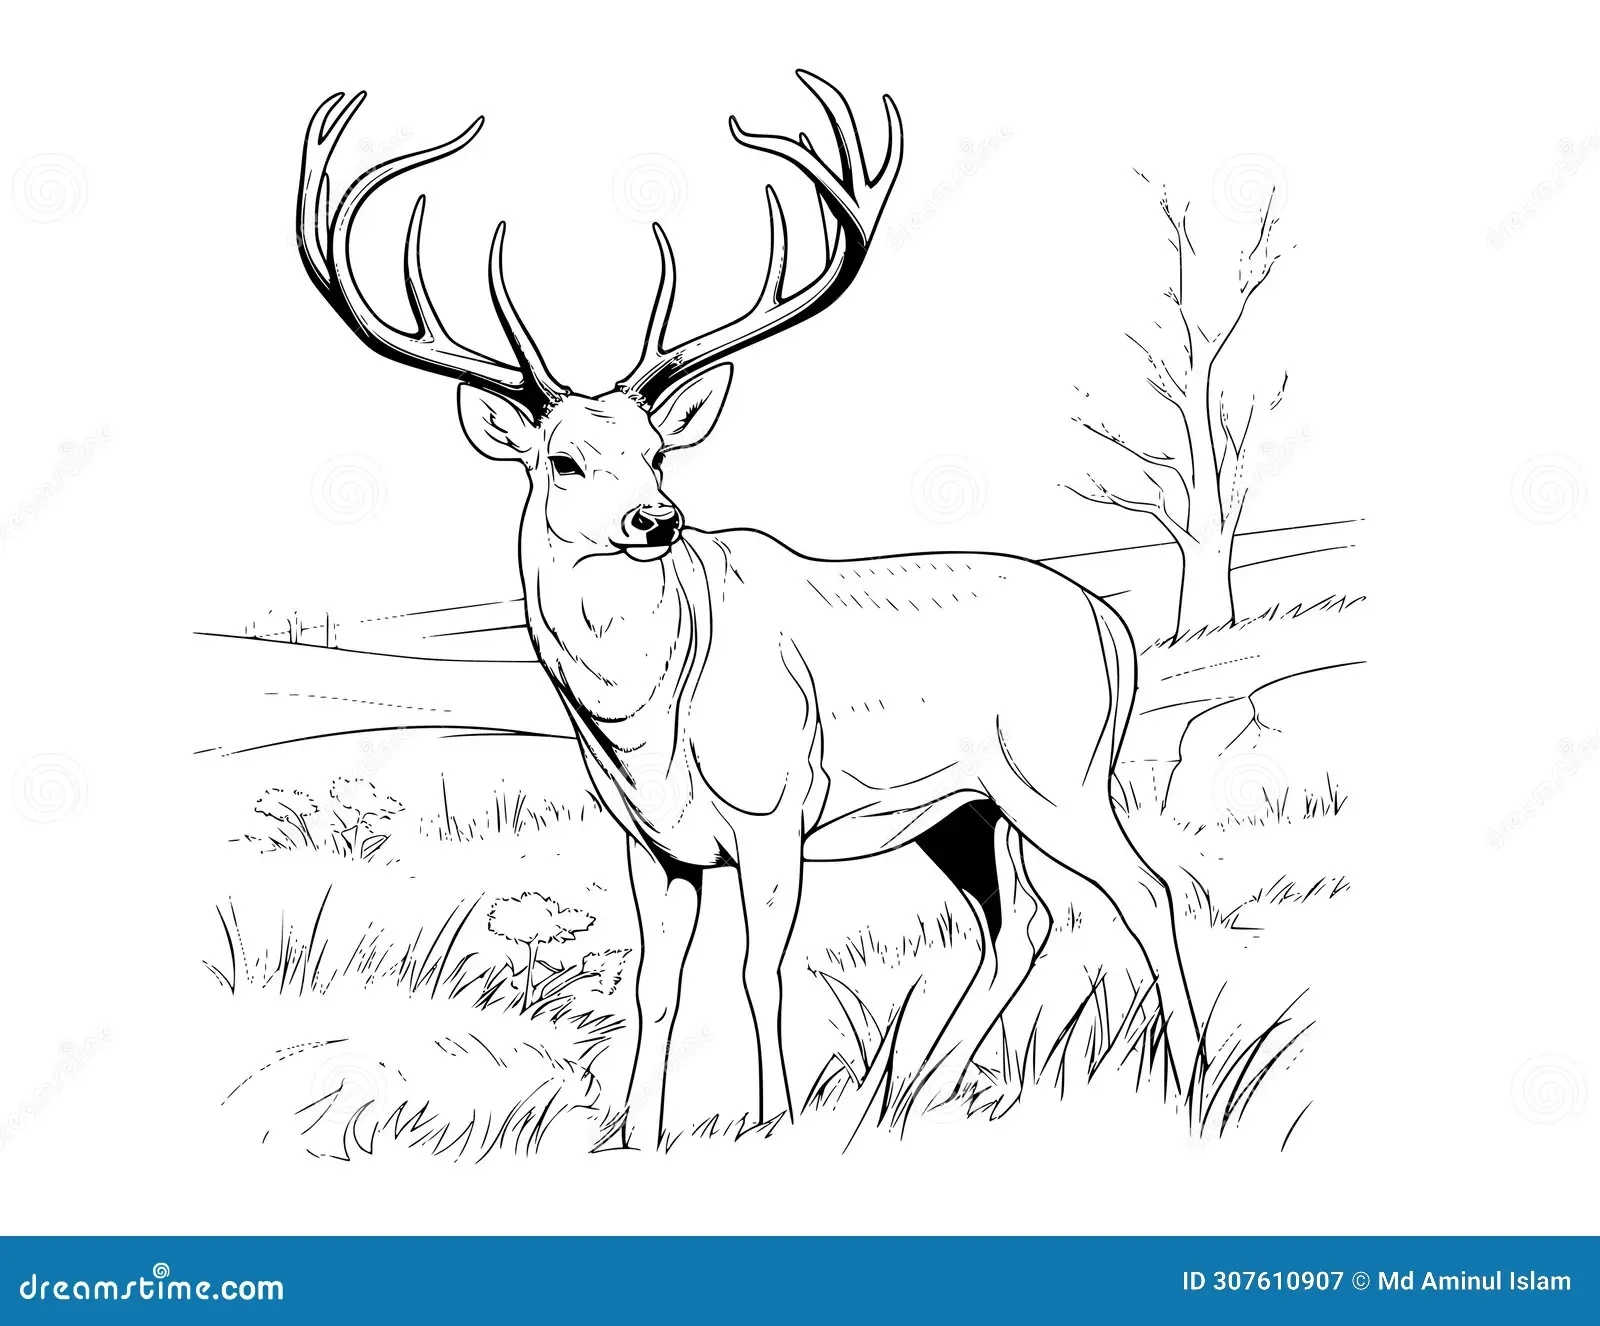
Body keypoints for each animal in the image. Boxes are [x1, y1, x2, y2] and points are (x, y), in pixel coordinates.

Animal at [297, 72, 1204, 1149]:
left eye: (656, 452)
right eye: (563, 461)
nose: (657, 519)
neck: (647, 726)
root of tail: (1115, 630)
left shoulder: (773, 808)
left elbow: (758, 970)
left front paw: (775, 1120)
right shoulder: (652, 844)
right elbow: (654, 986)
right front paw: (636, 1132)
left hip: (1057, 772)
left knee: (1145, 889)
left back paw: (1191, 1077)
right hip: (966, 809)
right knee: (1020, 923)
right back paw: (914, 1090)